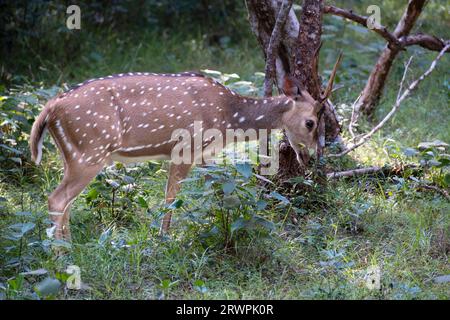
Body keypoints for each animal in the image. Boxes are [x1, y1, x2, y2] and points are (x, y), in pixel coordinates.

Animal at [29, 59, 342, 242]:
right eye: (311, 122)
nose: (310, 157)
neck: (227, 118)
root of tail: (49, 109)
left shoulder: (204, 155)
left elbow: (217, 188)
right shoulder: (186, 147)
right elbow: (171, 197)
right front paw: (164, 238)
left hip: (71, 154)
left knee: (65, 201)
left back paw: (67, 244)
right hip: (90, 151)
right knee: (57, 198)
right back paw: (61, 252)